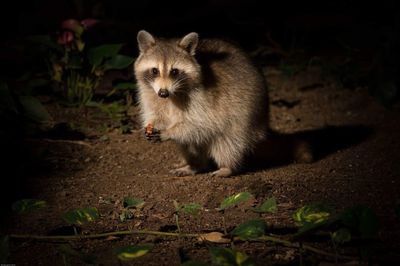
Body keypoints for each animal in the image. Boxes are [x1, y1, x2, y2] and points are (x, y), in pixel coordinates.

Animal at [134, 30, 268, 177]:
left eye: (174, 71)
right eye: (154, 70)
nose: (163, 93)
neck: (172, 95)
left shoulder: (202, 98)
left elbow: (199, 123)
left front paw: (168, 132)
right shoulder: (150, 94)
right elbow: (155, 114)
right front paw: (151, 124)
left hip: (246, 115)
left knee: (228, 142)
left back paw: (227, 167)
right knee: (189, 145)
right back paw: (193, 165)